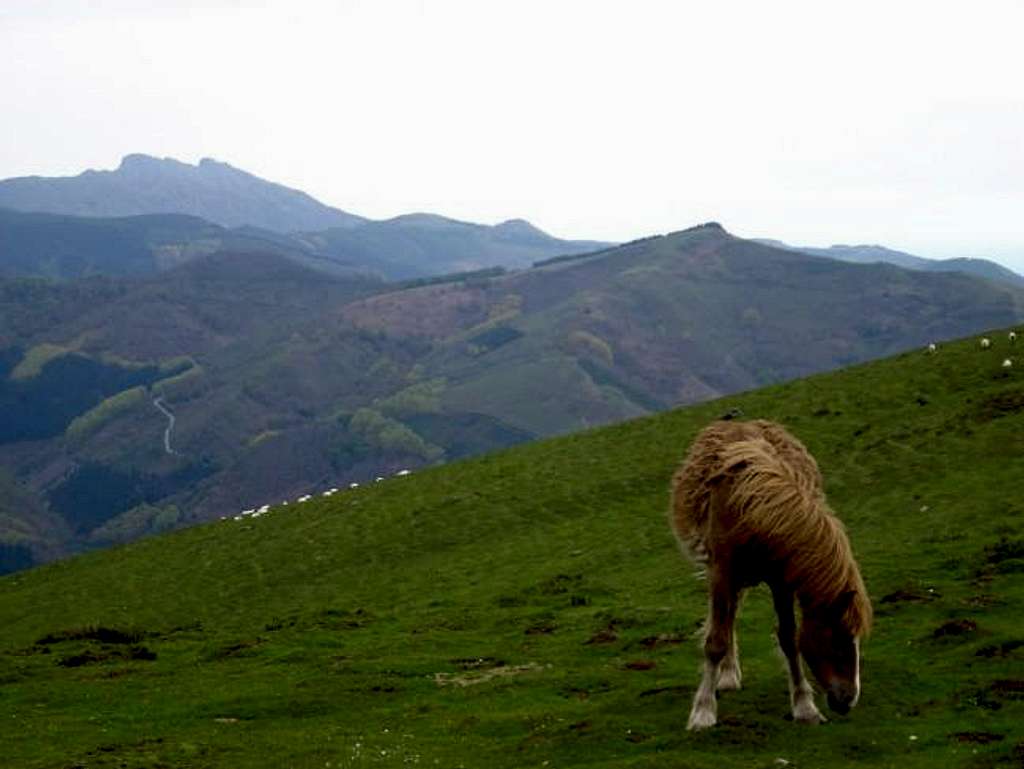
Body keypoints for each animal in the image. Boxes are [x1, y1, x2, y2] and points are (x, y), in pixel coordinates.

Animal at [671, 421, 872, 729]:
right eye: (838, 636)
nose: (848, 700)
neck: (756, 512)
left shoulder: (782, 581)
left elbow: (789, 638)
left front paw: (804, 706)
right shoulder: (722, 572)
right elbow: (715, 641)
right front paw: (703, 711)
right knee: (725, 620)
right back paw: (725, 676)